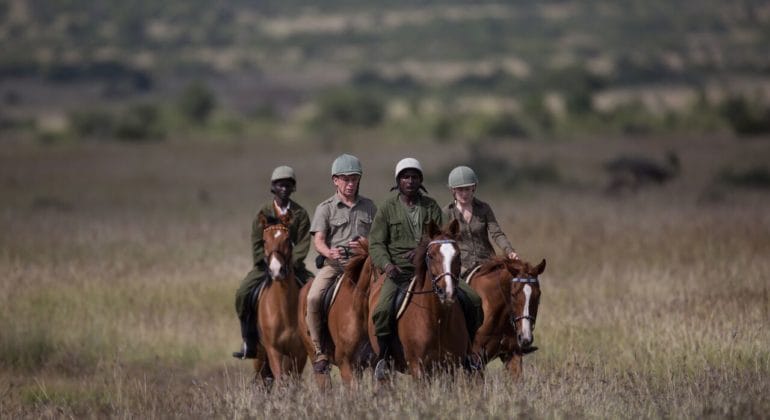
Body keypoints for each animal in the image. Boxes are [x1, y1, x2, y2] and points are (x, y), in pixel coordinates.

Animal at [255, 215, 308, 386]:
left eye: (287, 239)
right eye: (264, 240)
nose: (276, 270)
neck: (283, 308)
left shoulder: (299, 353)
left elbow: (294, 381)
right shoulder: (273, 351)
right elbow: (280, 380)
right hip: (260, 355)